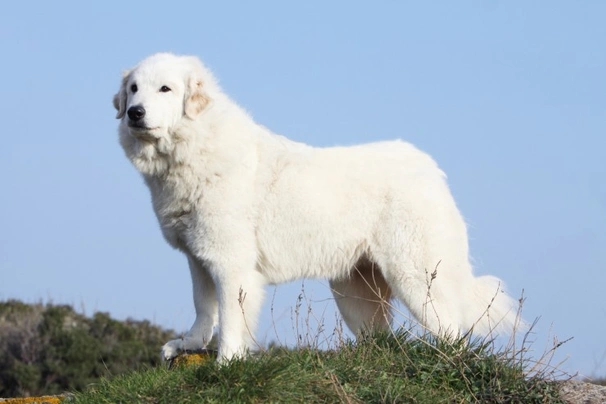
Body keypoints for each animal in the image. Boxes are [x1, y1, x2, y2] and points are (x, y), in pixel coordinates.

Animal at [115, 54, 524, 362]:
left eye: (165, 89)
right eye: (133, 88)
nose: (134, 112)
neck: (195, 147)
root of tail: (430, 167)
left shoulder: (231, 263)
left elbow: (231, 319)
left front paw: (226, 364)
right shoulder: (199, 258)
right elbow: (204, 308)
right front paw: (189, 344)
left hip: (415, 277)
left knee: (452, 330)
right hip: (356, 293)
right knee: (382, 339)